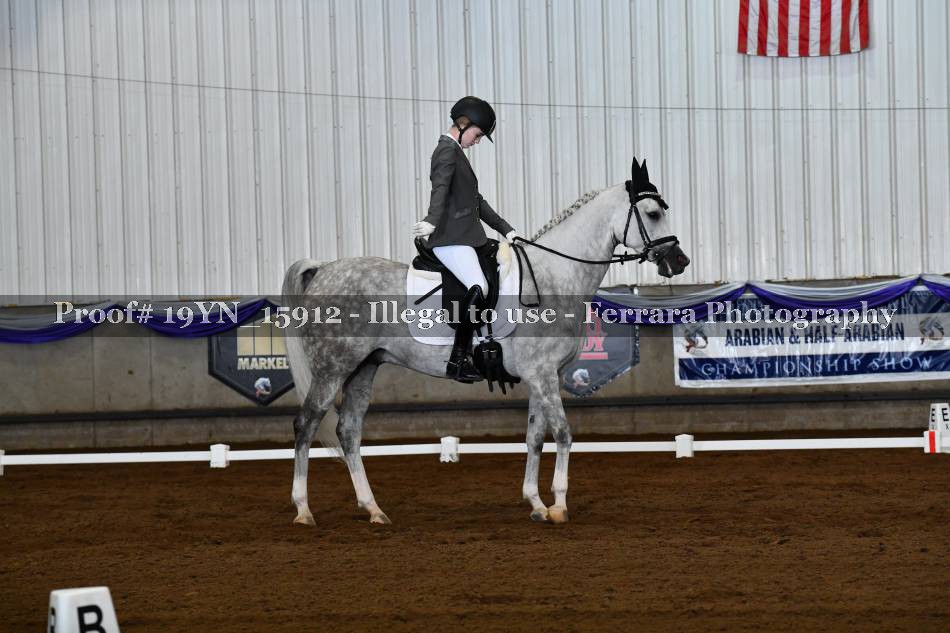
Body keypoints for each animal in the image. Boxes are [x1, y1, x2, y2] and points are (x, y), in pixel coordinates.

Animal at [282, 157, 690, 526]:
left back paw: (374, 510)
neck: (552, 278)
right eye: (653, 213)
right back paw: (303, 510)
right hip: (332, 368)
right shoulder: (542, 375)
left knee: (348, 431)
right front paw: (559, 506)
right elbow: (562, 432)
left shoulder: (544, 376)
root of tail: (324, 270)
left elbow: (535, 436)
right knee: (306, 424)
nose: (680, 261)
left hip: (364, 367)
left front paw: (537, 505)